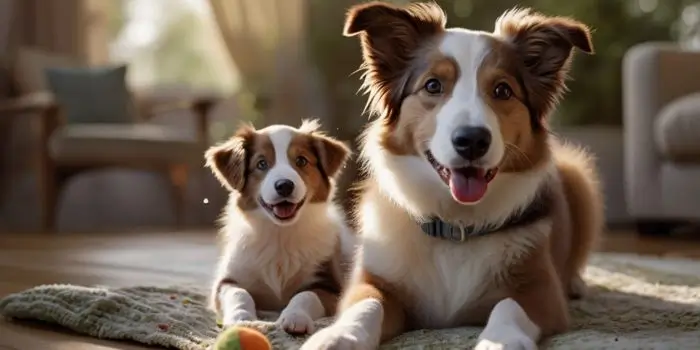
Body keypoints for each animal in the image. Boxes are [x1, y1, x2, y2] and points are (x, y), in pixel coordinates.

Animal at [205, 119, 352, 334]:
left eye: (301, 161)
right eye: (261, 164)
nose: (284, 185)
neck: (280, 232)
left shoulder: (331, 286)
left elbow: (305, 295)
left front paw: (295, 316)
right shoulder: (226, 281)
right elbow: (239, 294)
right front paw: (242, 319)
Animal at [304, 2, 604, 350]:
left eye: (503, 90)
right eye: (433, 85)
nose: (472, 140)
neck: (455, 225)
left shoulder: (542, 291)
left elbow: (508, 306)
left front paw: (499, 343)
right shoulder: (371, 280)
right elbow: (366, 305)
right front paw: (338, 336)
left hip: (578, 176)